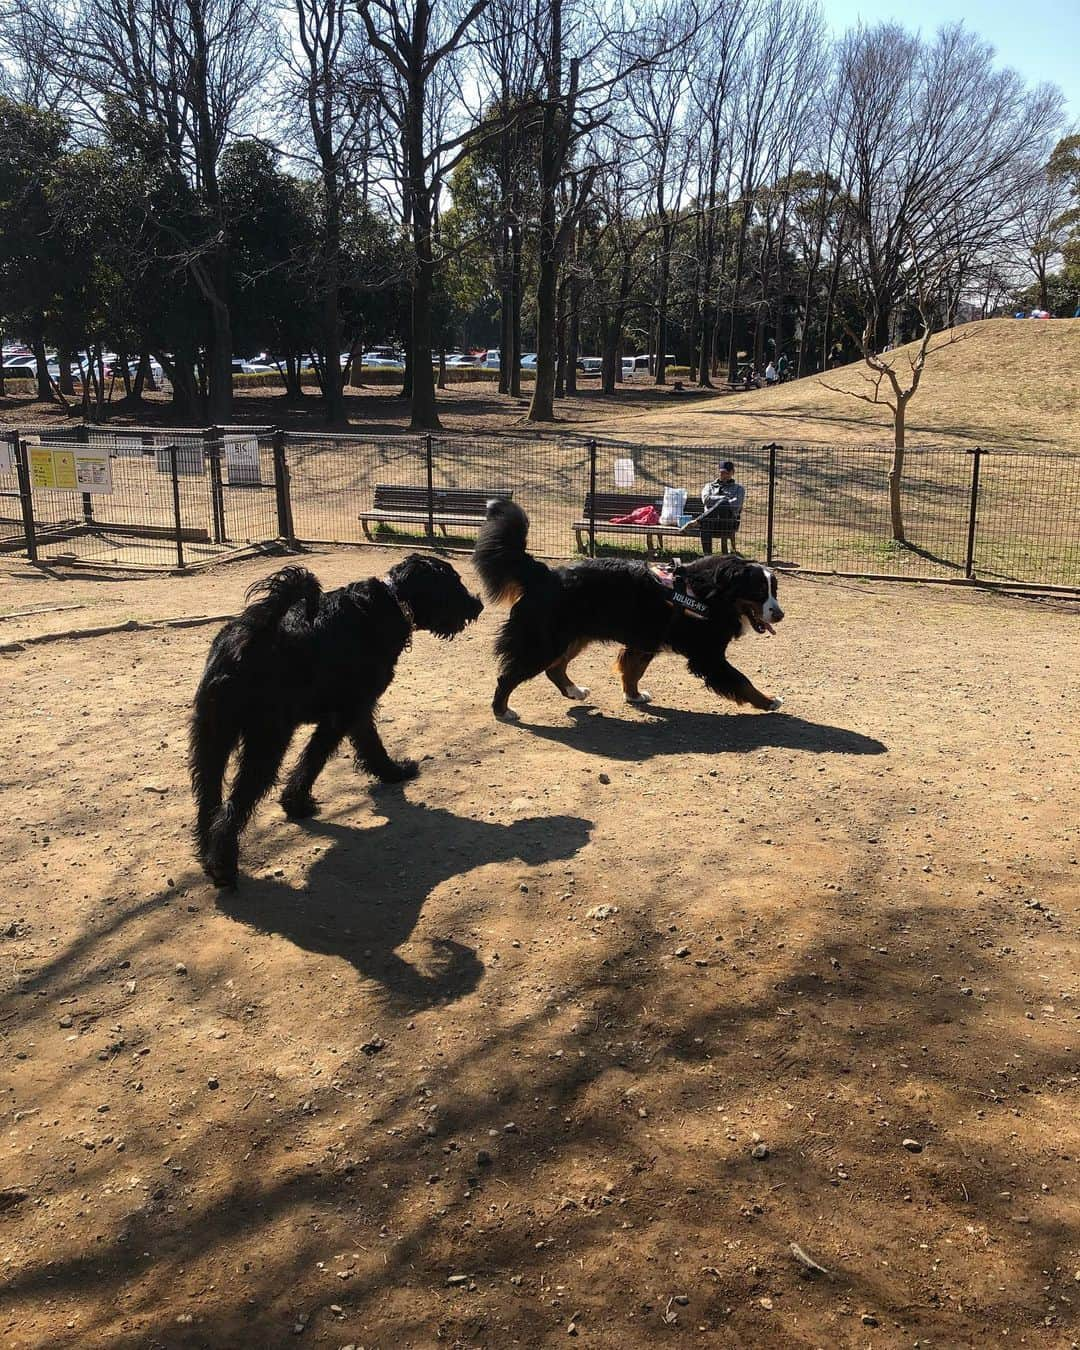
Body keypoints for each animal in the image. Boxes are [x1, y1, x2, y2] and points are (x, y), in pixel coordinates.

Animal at [189, 556, 480, 885]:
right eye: (453, 582)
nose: (477, 605)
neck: (393, 601)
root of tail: (250, 637)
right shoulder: (345, 714)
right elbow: (322, 759)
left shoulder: (354, 713)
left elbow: (352, 749)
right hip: (265, 743)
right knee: (232, 809)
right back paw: (224, 867)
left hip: (212, 740)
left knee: (208, 800)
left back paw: (206, 853)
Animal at [475, 499, 783, 729]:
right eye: (758, 591)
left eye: (774, 590)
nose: (779, 614)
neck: (708, 593)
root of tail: (544, 574)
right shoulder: (708, 656)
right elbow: (742, 681)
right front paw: (768, 700)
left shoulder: (646, 641)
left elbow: (632, 670)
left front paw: (633, 695)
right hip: (545, 643)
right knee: (509, 676)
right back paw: (503, 710)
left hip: (573, 637)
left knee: (555, 668)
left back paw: (574, 691)